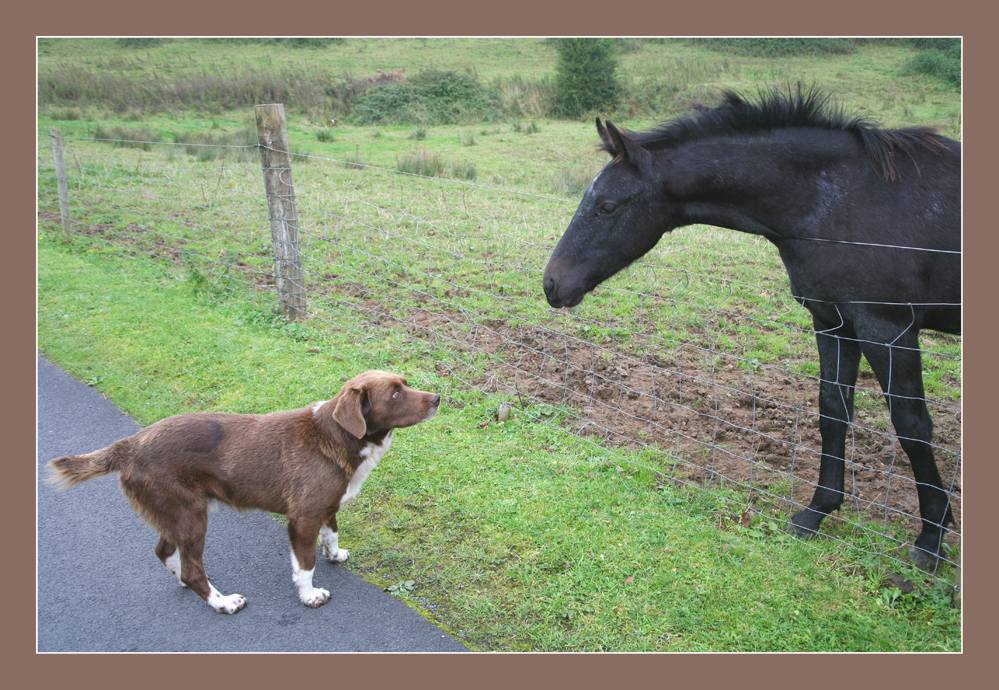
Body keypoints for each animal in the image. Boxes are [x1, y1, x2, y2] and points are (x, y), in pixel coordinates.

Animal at [47, 370, 438, 612]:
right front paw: (310, 595)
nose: (437, 397)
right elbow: (305, 563)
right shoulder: (303, 517)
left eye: (404, 383)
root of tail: (129, 445)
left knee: (166, 553)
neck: (337, 436)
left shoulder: (328, 507)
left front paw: (335, 554)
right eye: (395, 393)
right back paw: (222, 602)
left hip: (175, 514)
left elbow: (332, 534)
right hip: (190, 516)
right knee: (191, 567)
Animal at [548, 87, 960, 568]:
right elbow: (833, 411)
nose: (552, 283)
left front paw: (931, 538)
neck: (845, 200)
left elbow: (912, 425)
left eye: (607, 206)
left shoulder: (887, 327)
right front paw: (816, 511)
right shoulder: (834, 321)